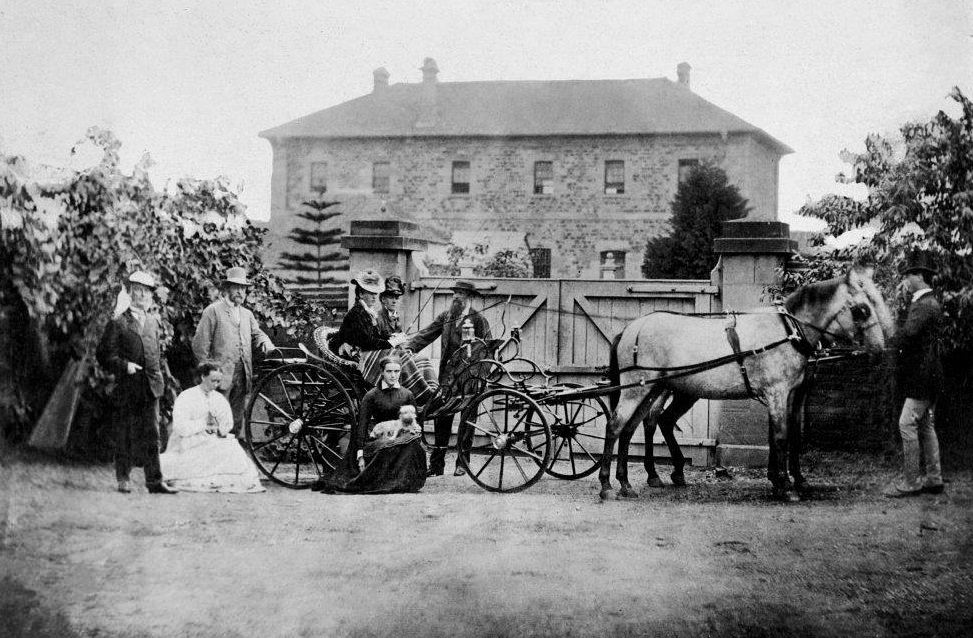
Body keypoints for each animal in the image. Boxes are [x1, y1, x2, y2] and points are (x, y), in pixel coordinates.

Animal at [600, 266, 896, 504]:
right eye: (862, 309)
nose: (880, 349)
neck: (788, 331)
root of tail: (631, 329)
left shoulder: (791, 394)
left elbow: (788, 436)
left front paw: (784, 480)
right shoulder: (777, 392)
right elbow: (781, 436)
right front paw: (786, 486)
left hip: (653, 389)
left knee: (634, 427)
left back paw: (629, 482)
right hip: (638, 389)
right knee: (617, 425)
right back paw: (607, 485)